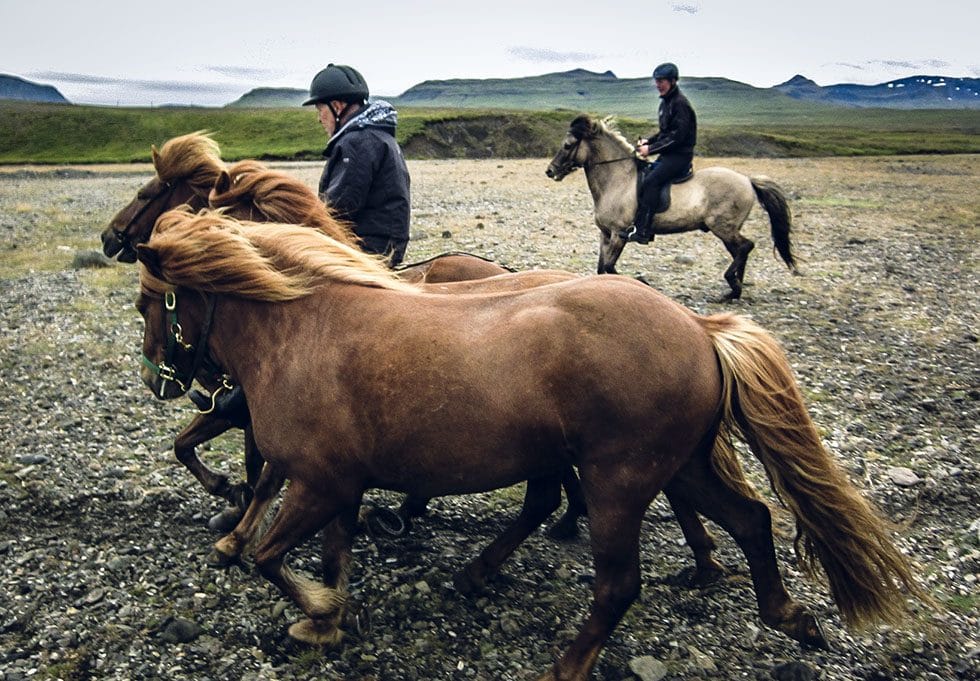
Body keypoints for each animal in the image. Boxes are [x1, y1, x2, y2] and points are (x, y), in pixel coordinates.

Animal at [136, 210, 928, 676]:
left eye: (149, 300)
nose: (159, 381)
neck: (301, 329)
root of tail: (698, 328)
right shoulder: (339, 484)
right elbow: (330, 554)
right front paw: (327, 618)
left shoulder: (321, 480)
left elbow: (272, 557)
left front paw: (317, 611)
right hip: (680, 465)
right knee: (752, 520)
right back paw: (787, 615)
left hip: (618, 480)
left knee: (618, 583)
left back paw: (567, 663)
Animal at [548, 115, 800, 298]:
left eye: (568, 145)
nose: (550, 171)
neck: (617, 180)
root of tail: (747, 180)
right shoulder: (606, 234)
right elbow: (602, 269)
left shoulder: (620, 234)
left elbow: (609, 267)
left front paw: (641, 281)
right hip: (726, 230)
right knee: (740, 250)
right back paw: (735, 288)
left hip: (723, 227)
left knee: (746, 246)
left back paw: (733, 285)